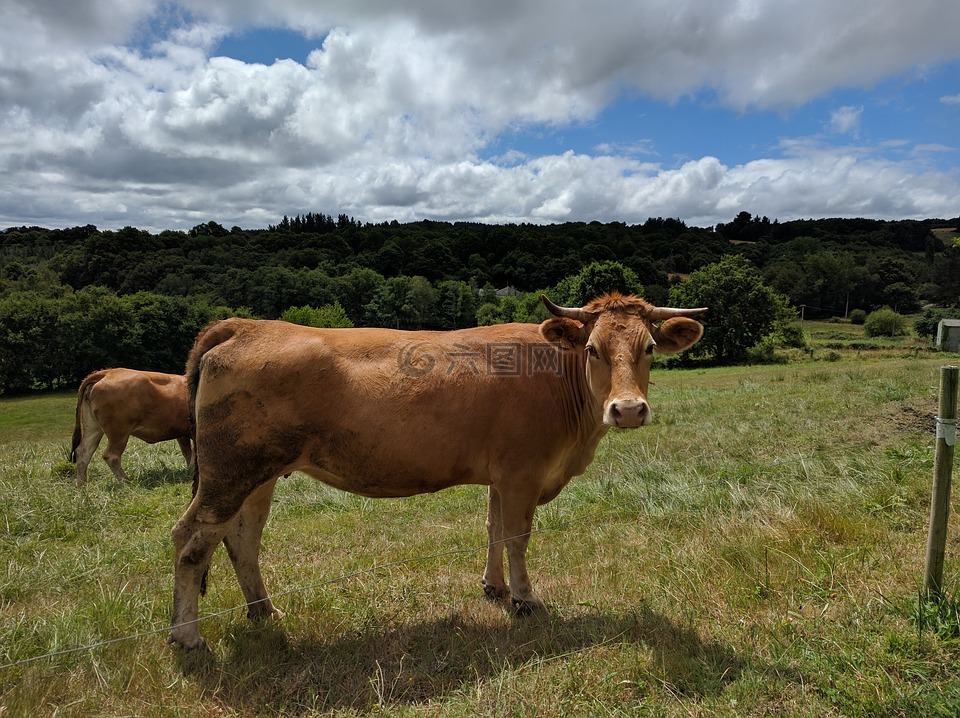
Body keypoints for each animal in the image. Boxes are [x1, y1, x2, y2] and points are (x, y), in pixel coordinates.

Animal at [167, 292, 704, 652]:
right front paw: (525, 600)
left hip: (257, 476)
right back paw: (187, 636)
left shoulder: (500, 475)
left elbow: (492, 529)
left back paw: (264, 610)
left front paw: (495, 587)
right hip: (229, 473)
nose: (628, 409)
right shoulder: (522, 472)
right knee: (192, 539)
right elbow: (517, 536)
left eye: (649, 348)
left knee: (242, 539)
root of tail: (245, 325)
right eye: (592, 348)